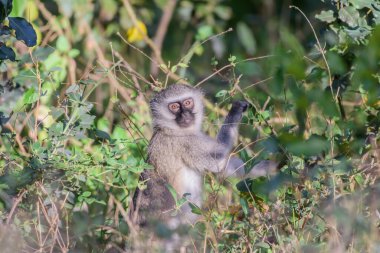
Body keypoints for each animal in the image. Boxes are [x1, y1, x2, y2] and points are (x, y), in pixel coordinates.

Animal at [131, 85, 276, 243]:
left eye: (188, 102)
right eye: (174, 107)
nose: (185, 115)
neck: (170, 129)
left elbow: (228, 169)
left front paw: (277, 165)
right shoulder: (186, 143)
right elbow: (217, 161)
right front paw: (235, 111)